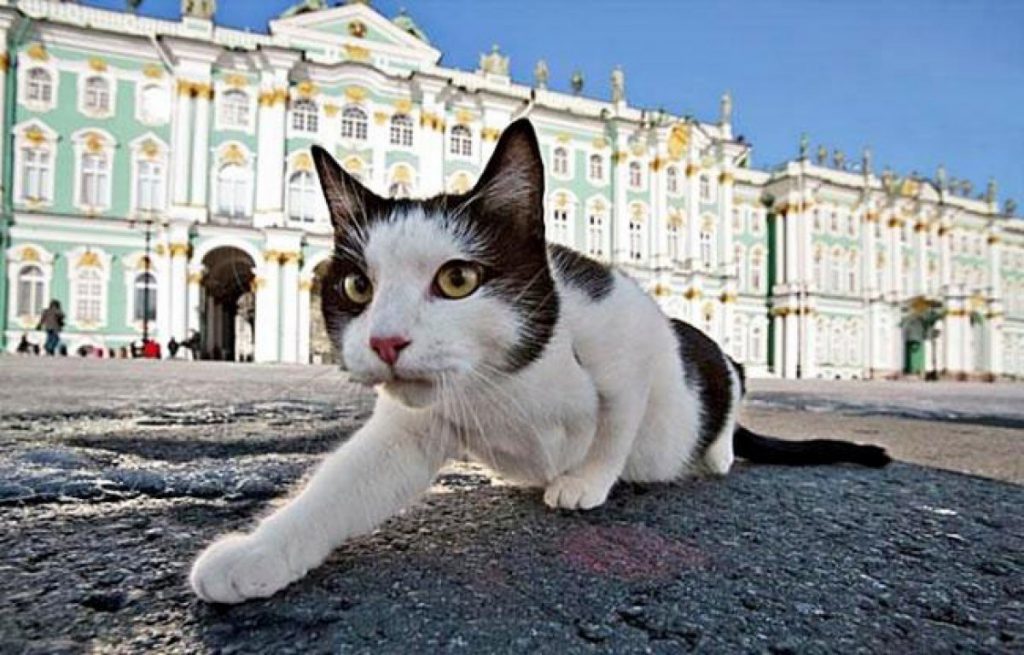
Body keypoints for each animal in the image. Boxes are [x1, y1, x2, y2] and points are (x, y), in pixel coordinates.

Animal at [190, 118, 888, 605]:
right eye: (358, 287)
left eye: (458, 279)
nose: (386, 342)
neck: (504, 379)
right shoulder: (411, 429)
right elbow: (340, 486)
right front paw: (257, 553)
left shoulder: (629, 329)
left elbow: (617, 420)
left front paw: (586, 481)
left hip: (703, 353)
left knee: (733, 377)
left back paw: (716, 452)